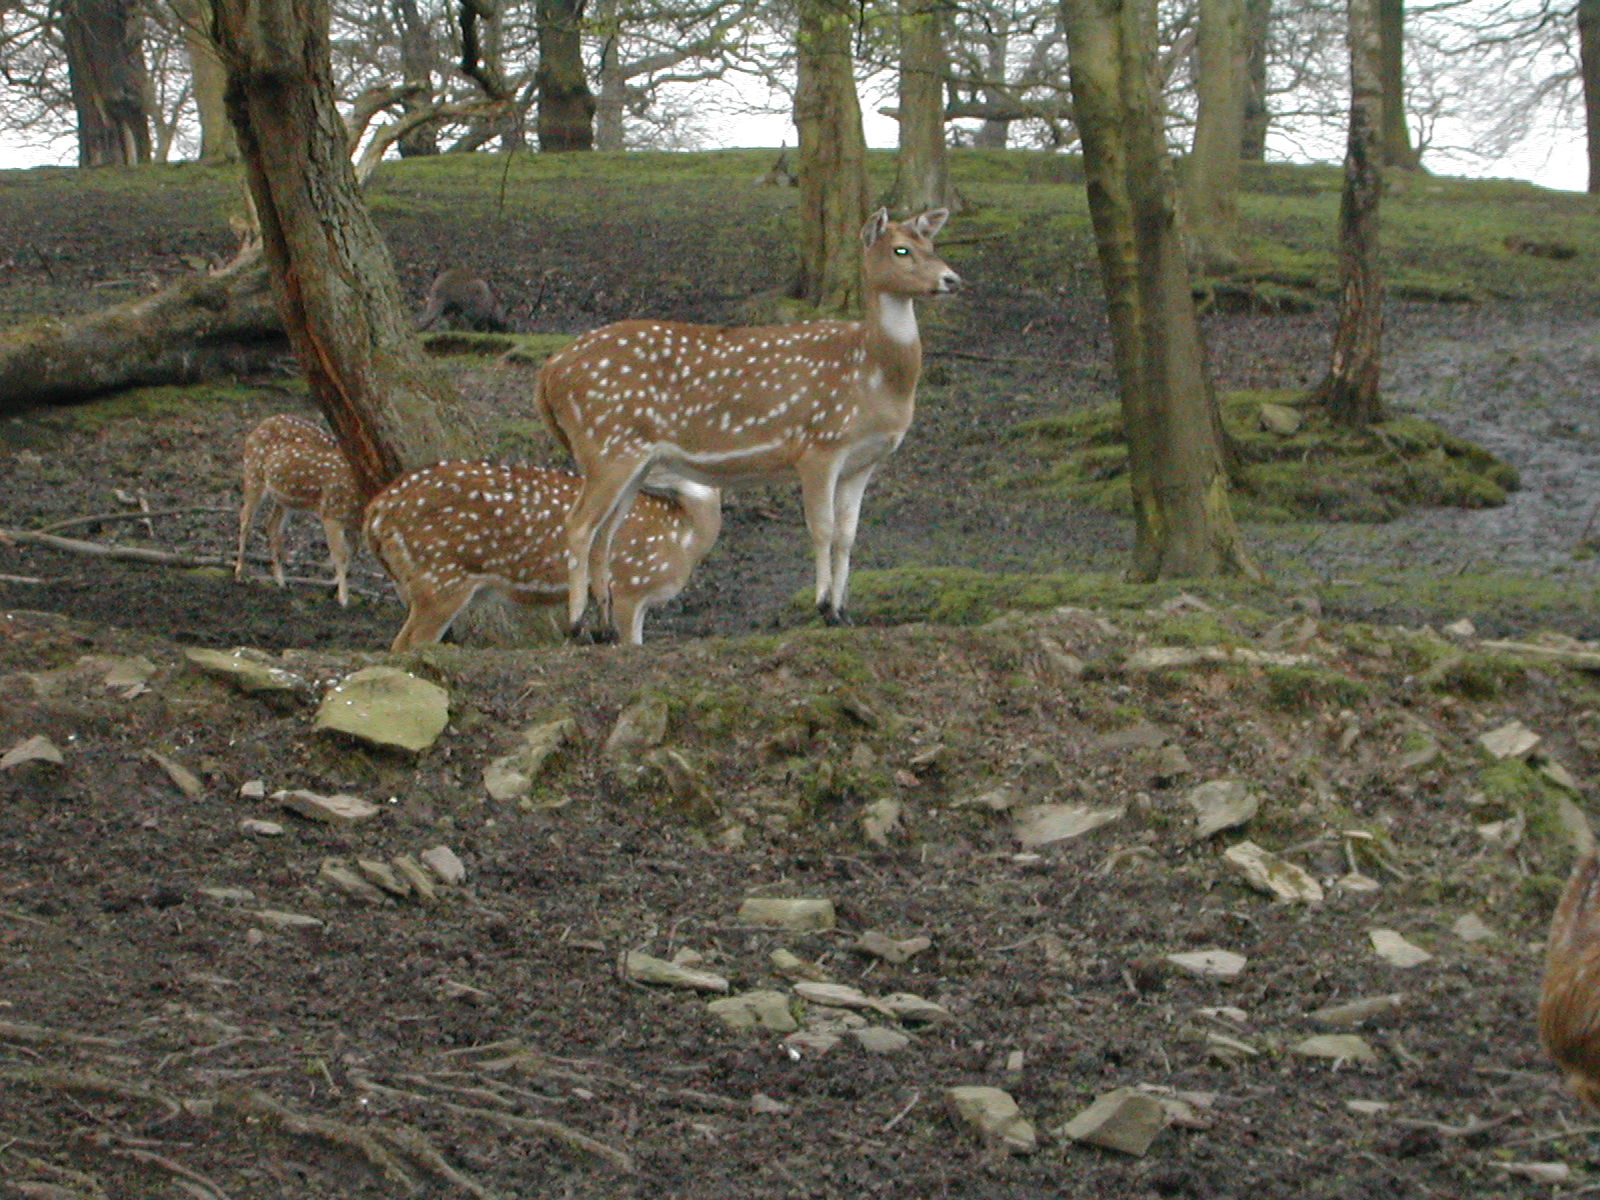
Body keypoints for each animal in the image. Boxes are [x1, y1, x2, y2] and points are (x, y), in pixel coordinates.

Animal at [235, 414, 364, 607]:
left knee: (272, 526)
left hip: (284, 497)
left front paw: (334, 588)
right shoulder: (332, 512)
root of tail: (264, 422)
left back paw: (281, 581)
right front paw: (343, 598)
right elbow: (340, 554)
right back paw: (239, 573)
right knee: (245, 518)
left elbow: (352, 551)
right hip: (253, 473)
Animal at [363, 461, 721, 651]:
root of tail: (377, 510)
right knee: (406, 644)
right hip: (439, 575)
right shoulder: (628, 584)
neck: (682, 538)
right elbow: (630, 643)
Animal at [536, 207, 961, 642]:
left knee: (605, 534)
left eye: (931, 244)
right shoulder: (819, 443)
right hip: (606, 444)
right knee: (579, 524)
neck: (874, 377)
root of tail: (550, 371)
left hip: (632, 459)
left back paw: (605, 627)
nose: (952, 279)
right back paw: (576, 625)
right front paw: (823, 607)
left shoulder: (863, 461)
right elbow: (822, 528)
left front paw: (844, 612)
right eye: (901, 249)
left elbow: (847, 535)